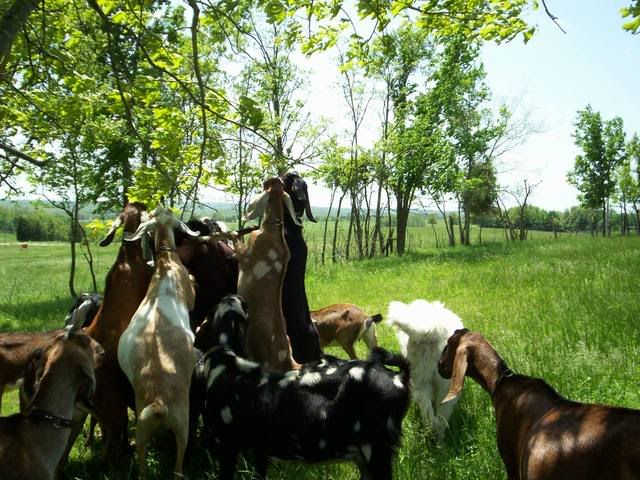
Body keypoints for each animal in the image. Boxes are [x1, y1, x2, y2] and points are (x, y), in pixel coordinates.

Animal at [118, 206, 199, 479]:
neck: (166, 262)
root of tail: (159, 403)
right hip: (183, 424)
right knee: (178, 468)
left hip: (142, 428)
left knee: (143, 469)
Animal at [199, 296, 411, 480]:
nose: (237, 296)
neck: (227, 364)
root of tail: (398, 377)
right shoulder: (260, 448)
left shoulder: (226, 446)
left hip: (376, 447)